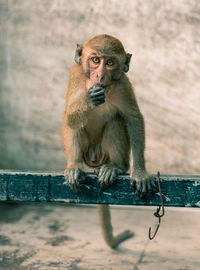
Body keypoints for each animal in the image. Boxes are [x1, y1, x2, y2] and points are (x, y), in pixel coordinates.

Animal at [61, 34, 155, 249]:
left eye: (110, 63)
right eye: (95, 60)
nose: (100, 76)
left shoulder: (123, 84)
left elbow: (134, 119)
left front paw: (139, 172)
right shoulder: (76, 76)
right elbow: (70, 118)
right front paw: (90, 99)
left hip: (105, 152)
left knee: (116, 120)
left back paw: (115, 167)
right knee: (74, 125)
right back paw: (74, 166)